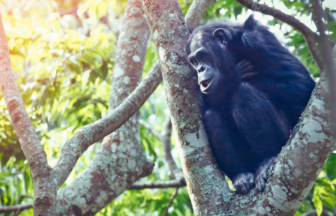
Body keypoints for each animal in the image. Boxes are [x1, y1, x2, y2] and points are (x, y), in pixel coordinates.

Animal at [186, 15, 316, 194]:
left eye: (203, 55)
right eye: (194, 61)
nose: (200, 69)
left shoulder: (259, 41)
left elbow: (301, 84)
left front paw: (229, 79)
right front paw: (230, 79)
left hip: (286, 139)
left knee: (244, 92)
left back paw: (266, 160)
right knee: (211, 116)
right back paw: (241, 176)